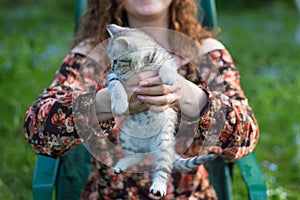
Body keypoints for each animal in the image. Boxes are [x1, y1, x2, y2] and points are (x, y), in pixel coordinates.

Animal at [105, 23, 216, 197]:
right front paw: (120, 103)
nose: (111, 66)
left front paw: (170, 77)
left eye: (116, 60)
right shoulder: (112, 76)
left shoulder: (165, 61)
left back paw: (159, 186)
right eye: (111, 61)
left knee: (163, 168)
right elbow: (115, 84)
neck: (141, 66)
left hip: (163, 143)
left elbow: (165, 67)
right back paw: (122, 164)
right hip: (126, 136)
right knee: (138, 156)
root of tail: (149, 145)